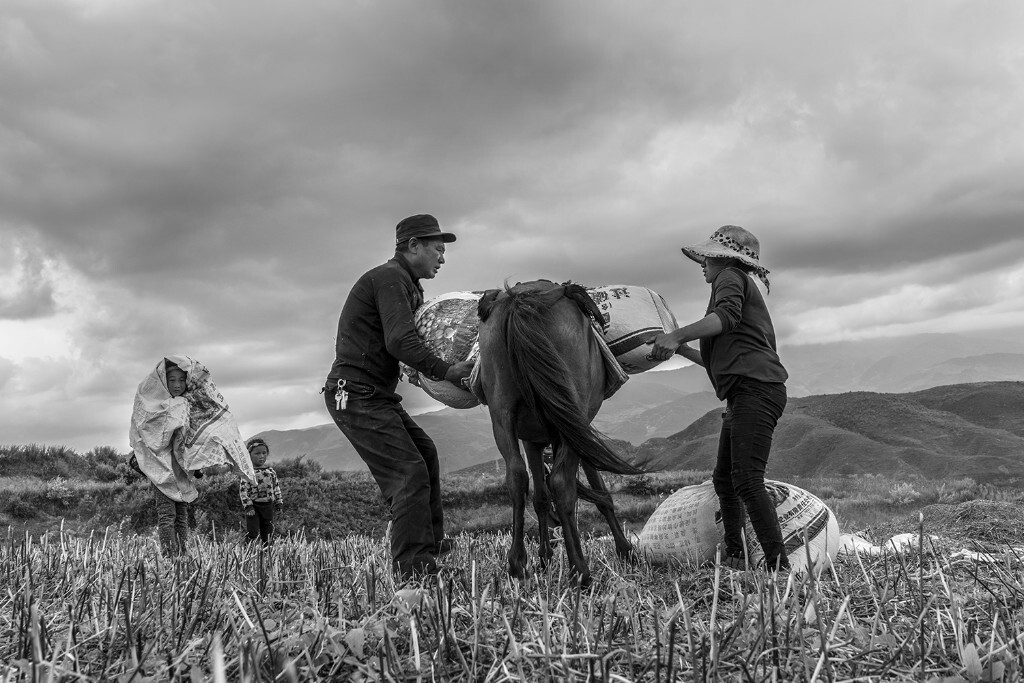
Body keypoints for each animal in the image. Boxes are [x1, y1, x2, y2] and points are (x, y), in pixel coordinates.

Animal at [475, 280, 643, 585]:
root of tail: (520, 298)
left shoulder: (532, 439)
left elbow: (540, 498)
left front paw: (544, 558)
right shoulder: (579, 427)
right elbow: (599, 490)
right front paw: (626, 551)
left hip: (502, 413)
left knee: (516, 477)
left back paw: (517, 564)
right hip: (571, 411)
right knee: (562, 483)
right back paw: (580, 571)